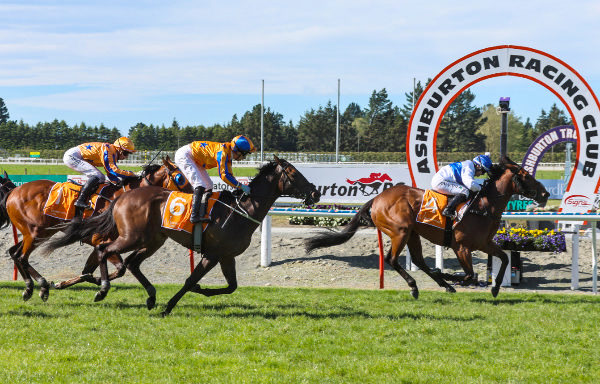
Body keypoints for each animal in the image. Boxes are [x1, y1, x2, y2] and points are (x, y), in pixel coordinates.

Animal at [0, 154, 192, 302]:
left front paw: (68, 283)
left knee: (15, 253)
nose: (193, 193)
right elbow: (118, 268)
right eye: (181, 177)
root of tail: (13, 191)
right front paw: (99, 285)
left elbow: (90, 270)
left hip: (41, 232)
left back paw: (31, 287)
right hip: (35, 232)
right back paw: (41, 286)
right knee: (22, 257)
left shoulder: (98, 242)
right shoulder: (100, 239)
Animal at [44, 156, 322, 316]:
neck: (242, 210)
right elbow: (190, 281)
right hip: (132, 237)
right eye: (294, 174)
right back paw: (102, 290)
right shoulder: (212, 254)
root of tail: (122, 197)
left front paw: (200, 291)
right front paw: (170, 306)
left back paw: (150, 296)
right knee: (105, 250)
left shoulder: (226, 256)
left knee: (131, 262)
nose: (316, 193)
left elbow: (231, 287)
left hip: (153, 240)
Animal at [304, 156, 548, 296]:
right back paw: (417, 286)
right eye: (526, 176)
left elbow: (505, 258)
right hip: (400, 232)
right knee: (393, 259)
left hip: (412, 233)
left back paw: (441, 283)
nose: (545, 194)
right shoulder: (462, 247)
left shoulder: (483, 243)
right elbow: (469, 275)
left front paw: (496, 287)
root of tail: (377, 198)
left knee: (419, 261)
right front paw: (450, 276)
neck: (483, 206)